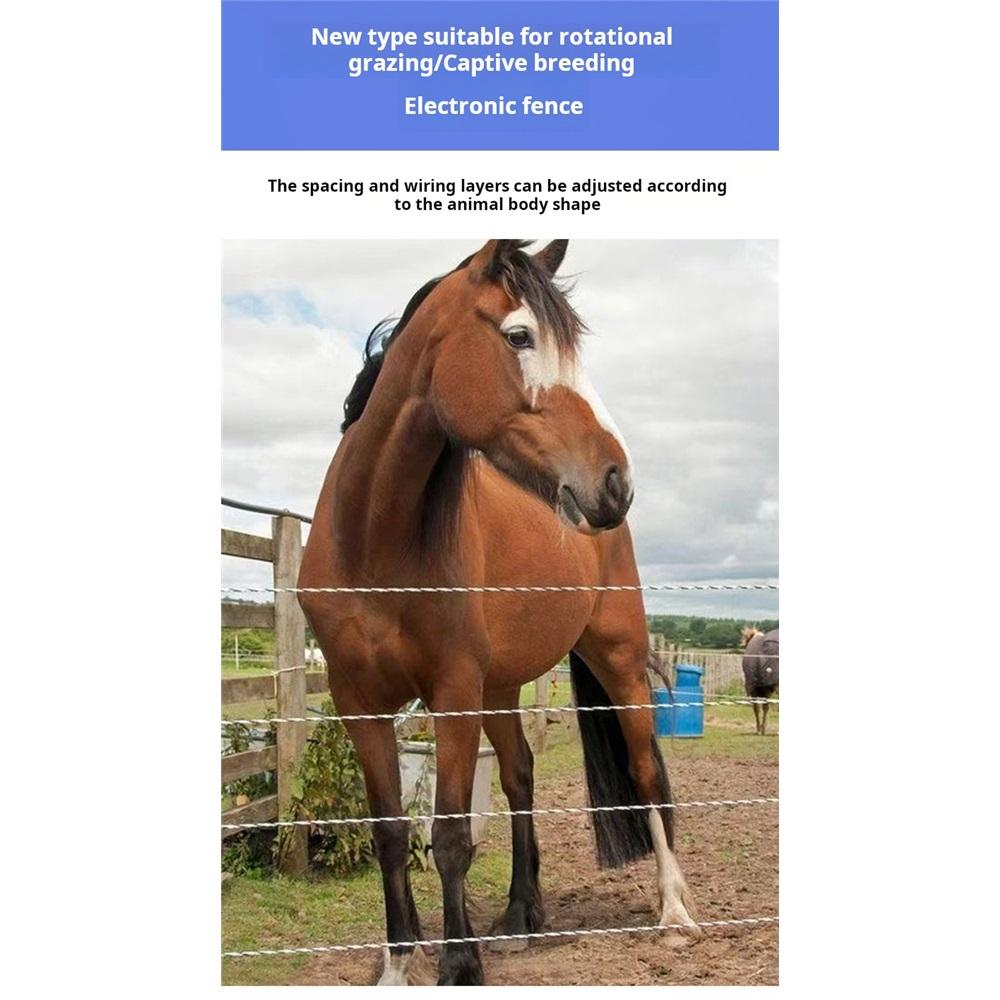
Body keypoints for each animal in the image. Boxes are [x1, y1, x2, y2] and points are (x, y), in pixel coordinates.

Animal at [298, 239, 699, 985]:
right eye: (519, 337)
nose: (616, 482)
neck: (373, 540)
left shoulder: (452, 691)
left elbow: (451, 835)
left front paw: (459, 965)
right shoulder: (358, 701)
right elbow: (391, 832)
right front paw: (398, 964)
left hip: (618, 661)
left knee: (645, 773)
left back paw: (673, 911)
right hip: (501, 688)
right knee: (520, 777)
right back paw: (520, 915)